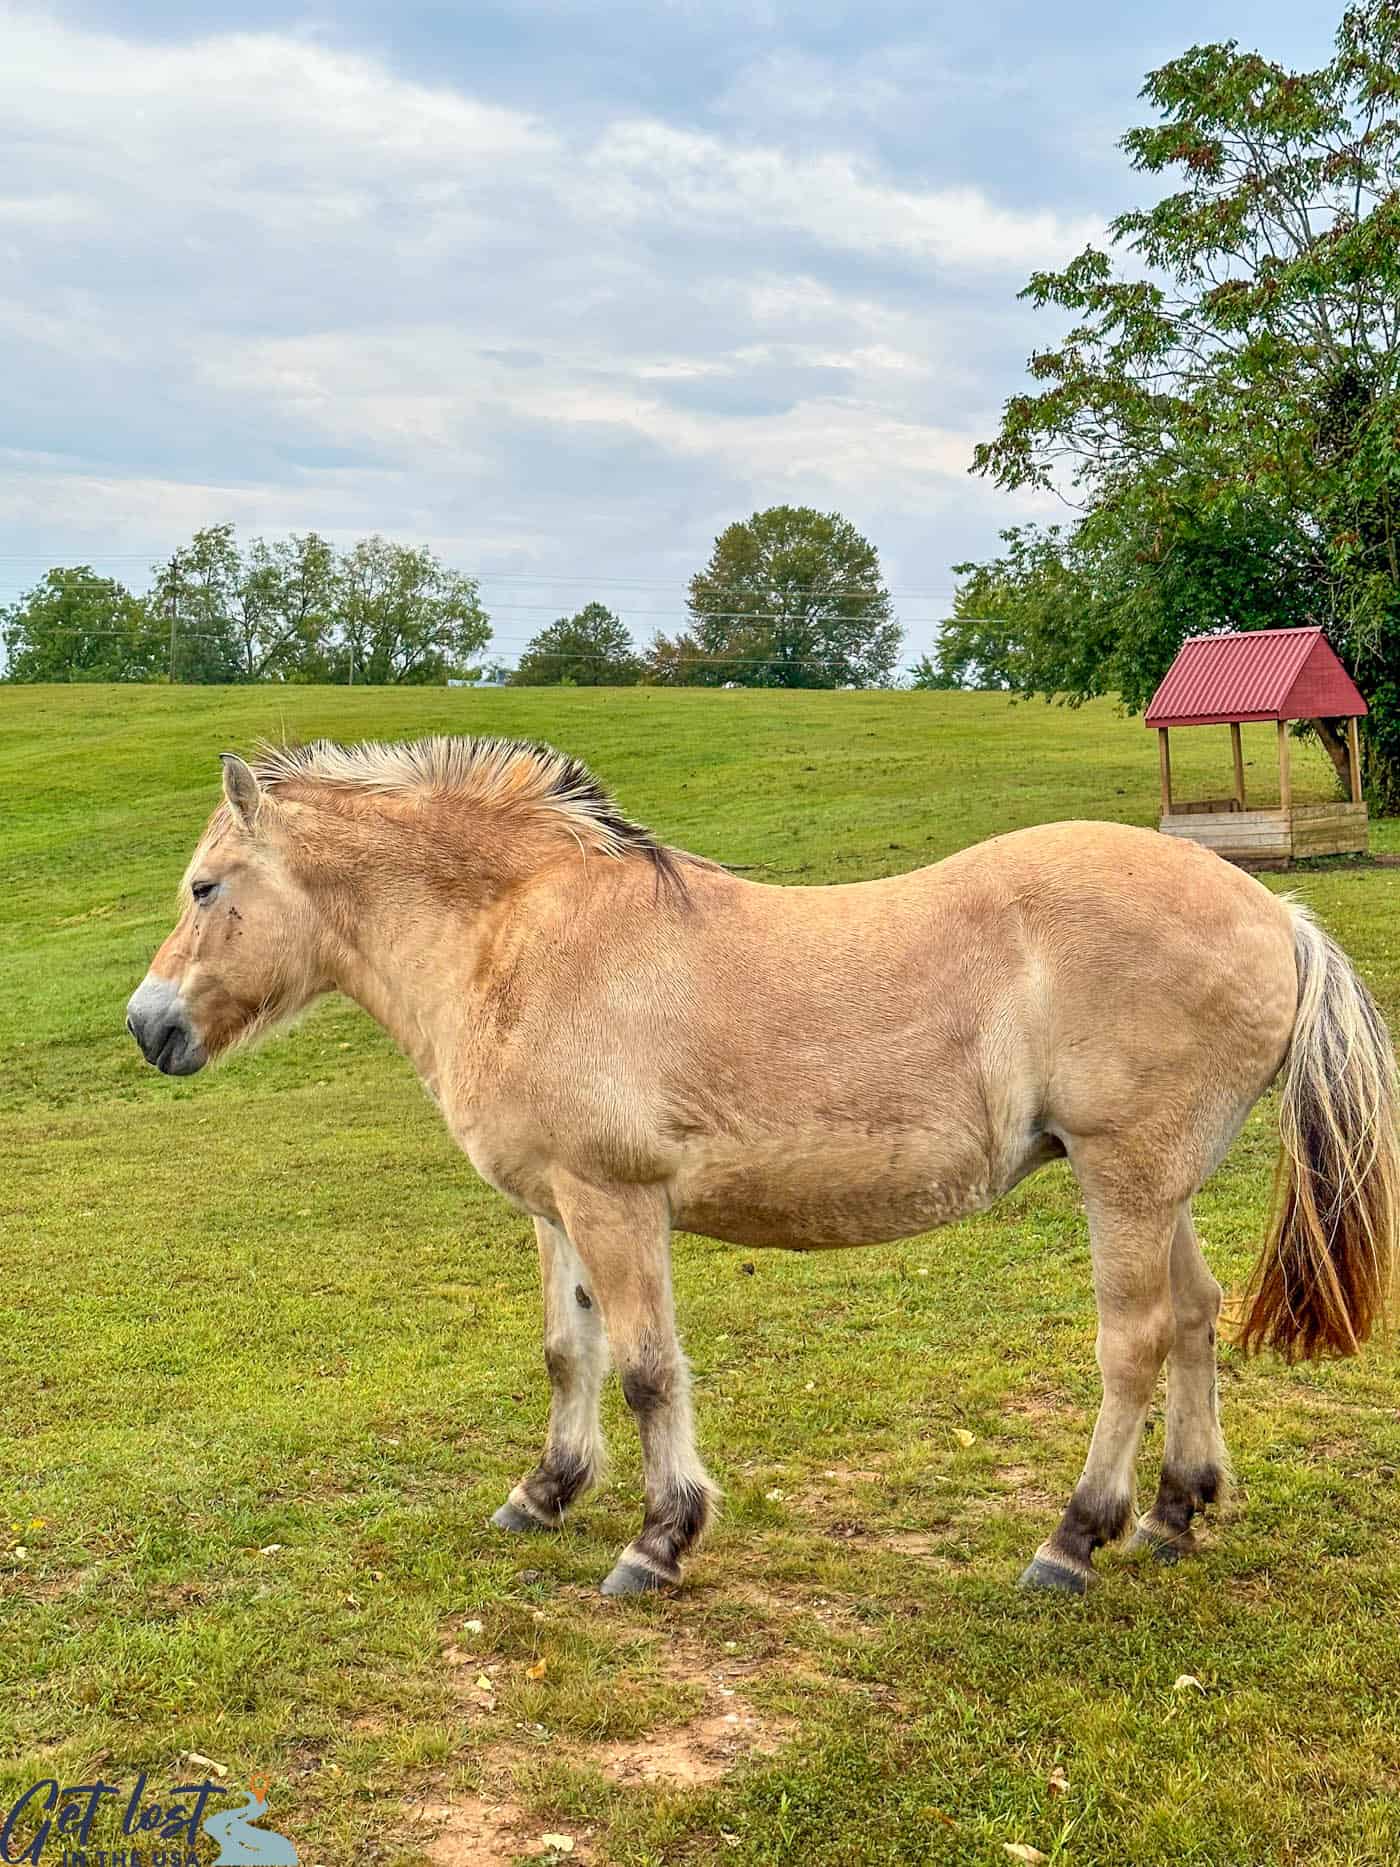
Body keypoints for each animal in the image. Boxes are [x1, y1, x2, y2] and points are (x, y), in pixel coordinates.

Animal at [126, 735, 1396, 1598]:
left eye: (204, 886)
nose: (149, 1026)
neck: (528, 937)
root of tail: (1273, 910)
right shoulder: (555, 1209)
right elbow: (567, 1352)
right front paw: (544, 1491)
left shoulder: (615, 1200)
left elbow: (646, 1369)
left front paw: (658, 1538)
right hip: (1150, 1182)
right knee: (1191, 1315)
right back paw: (1175, 1512)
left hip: (1122, 1179)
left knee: (1130, 1340)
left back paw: (1073, 1537)